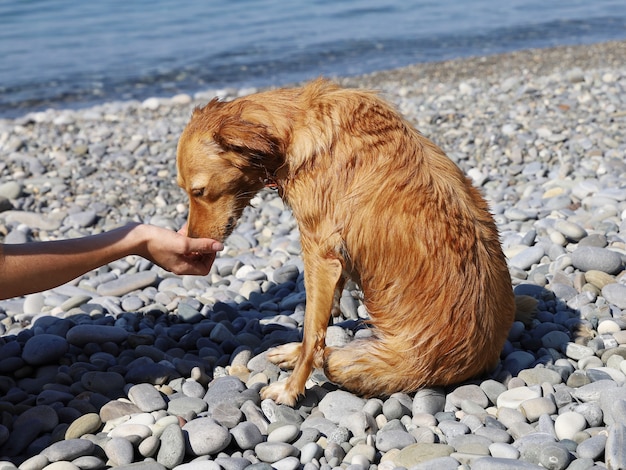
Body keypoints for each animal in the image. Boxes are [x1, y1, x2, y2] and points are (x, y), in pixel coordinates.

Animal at [174, 79, 512, 406]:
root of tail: (485, 358)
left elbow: (313, 332)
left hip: (360, 362)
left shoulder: (319, 253)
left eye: (199, 191)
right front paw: (295, 356)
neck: (294, 129)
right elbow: (321, 321)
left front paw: (290, 389)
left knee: (331, 358)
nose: (191, 242)